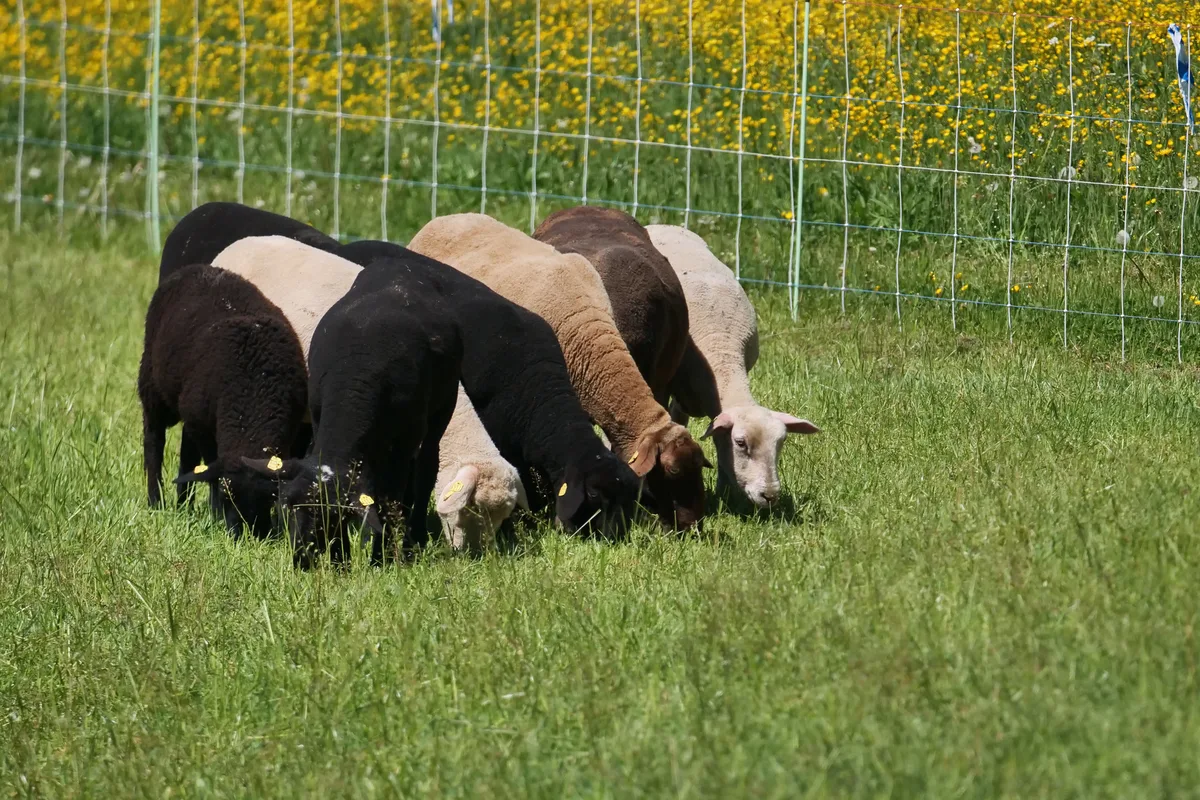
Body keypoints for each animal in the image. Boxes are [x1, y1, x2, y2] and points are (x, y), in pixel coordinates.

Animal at [138, 263, 308, 536]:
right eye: (228, 497)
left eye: (269, 498)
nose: (246, 535)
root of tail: (196, 267)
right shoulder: (205, 429)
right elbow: (211, 471)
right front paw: (216, 514)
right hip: (153, 387)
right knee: (154, 441)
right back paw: (156, 502)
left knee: (187, 457)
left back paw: (183, 504)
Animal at [240, 262, 464, 568]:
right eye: (285, 508)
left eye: (331, 516)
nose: (302, 561)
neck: (355, 375)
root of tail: (401, 265)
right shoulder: (320, 418)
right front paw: (342, 558)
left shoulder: (405, 439)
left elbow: (390, 496)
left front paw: (382, 557)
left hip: (444, 404)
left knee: (426, 466)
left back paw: (413, 538)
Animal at [646, 224, 820, 507]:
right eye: (741, 443)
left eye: (781, 442)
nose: (769, 495)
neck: (722, 351)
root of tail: (664, 225)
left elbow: (718, 440)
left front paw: (724, 492)